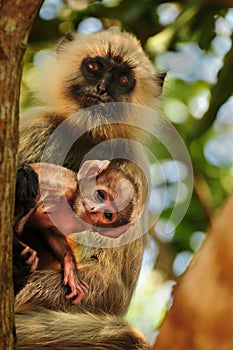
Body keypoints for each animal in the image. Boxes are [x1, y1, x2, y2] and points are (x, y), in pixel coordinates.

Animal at [14, 160, 138, 302]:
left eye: (108, 215)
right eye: (101, 195)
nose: (94, 209)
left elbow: (46, 229)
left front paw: (70, 268)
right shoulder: (62, 188)